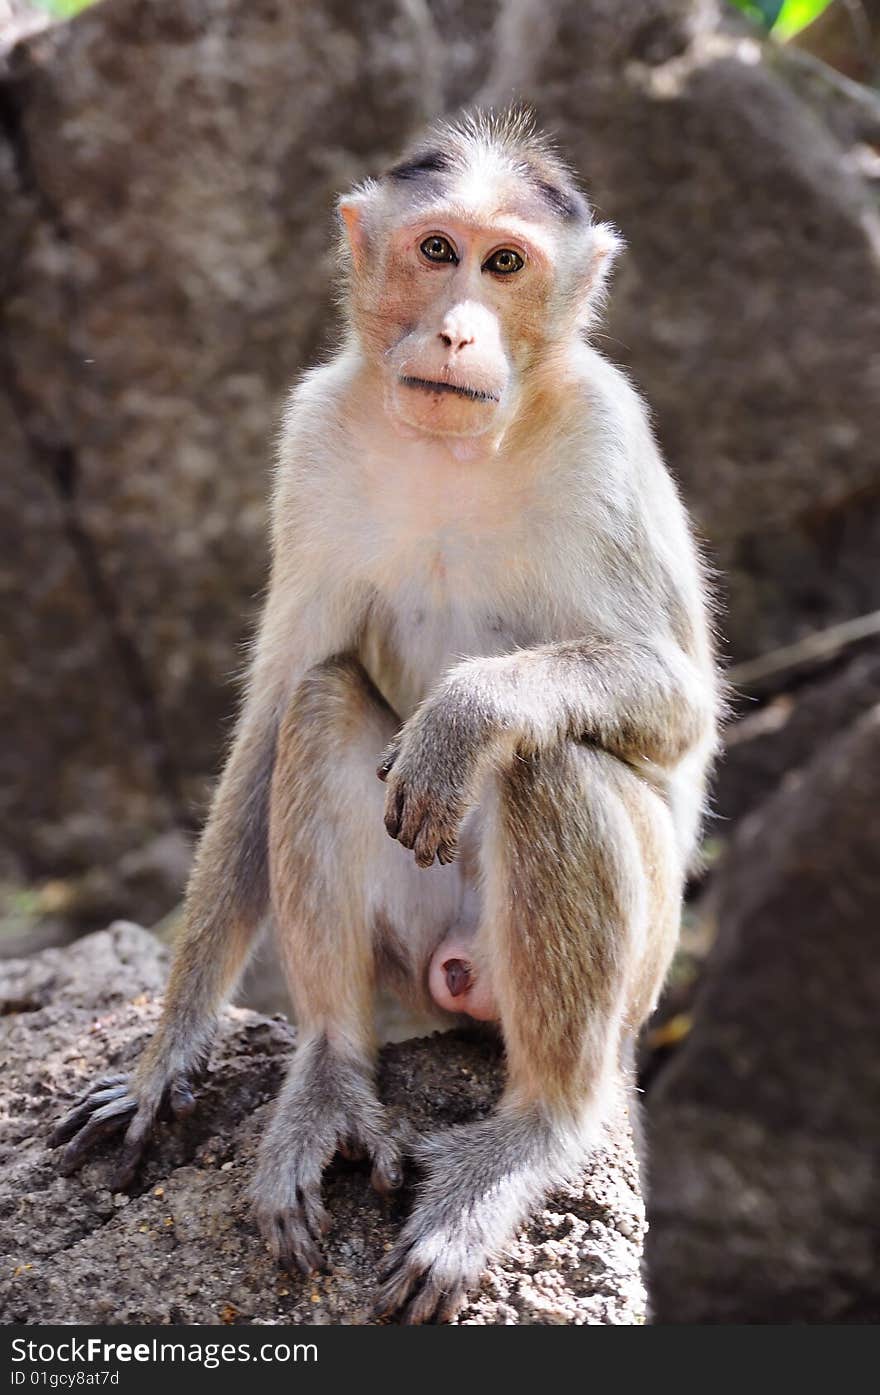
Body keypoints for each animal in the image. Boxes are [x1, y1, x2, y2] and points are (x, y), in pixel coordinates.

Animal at [51, 106, 719, 1316]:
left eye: (505, 266)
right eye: (437, 251)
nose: (456, 331)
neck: (457, 448)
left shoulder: (608, 434)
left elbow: (680, 702)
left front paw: (465, 711)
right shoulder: (312, 438)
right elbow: (278, 702)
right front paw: (167, 1055)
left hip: (632, 976)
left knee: (550, 762)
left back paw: (534, 1133)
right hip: (408, 960)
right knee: (321, 706)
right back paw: (330, 1074)